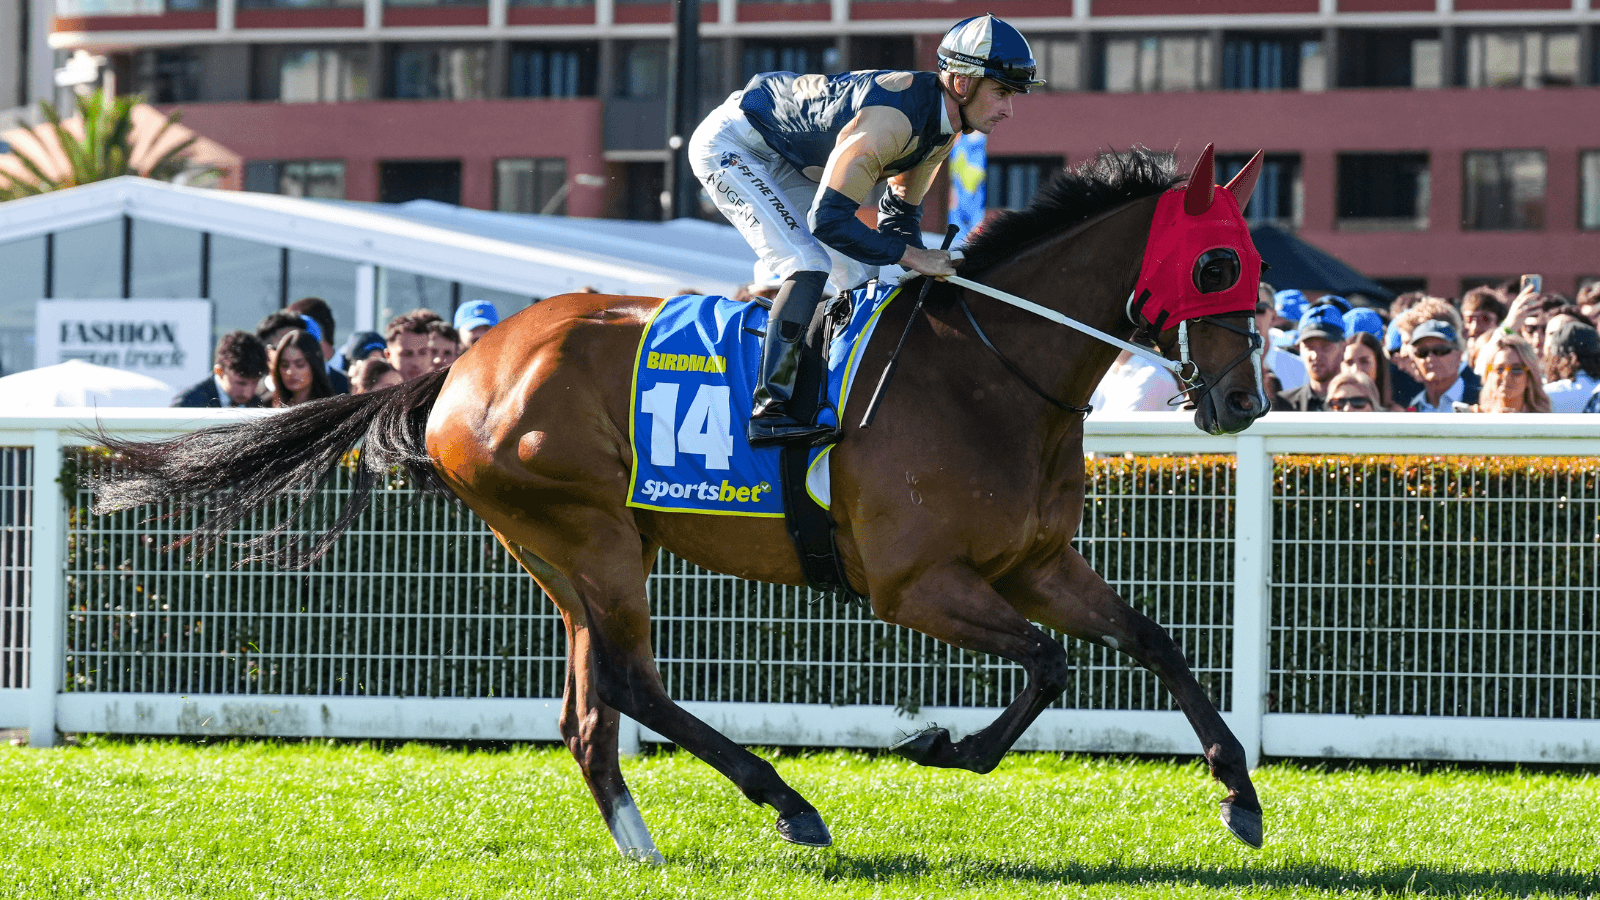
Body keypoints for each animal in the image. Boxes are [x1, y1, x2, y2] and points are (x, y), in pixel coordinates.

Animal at [92, 145, 1271, 862]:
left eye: (1254, 261)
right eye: (1218, 261)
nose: (1243, 400)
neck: (988, 370)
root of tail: (464, 365)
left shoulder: (1034, 562)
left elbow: (1150, 640)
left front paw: (1240, 795)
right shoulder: (912, 584)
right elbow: (1051, 662)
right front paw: (946, 746)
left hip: (568, 552)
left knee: (588, 711)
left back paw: (643, 841)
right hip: (591, 534)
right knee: (626, 683)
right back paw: (789, 803)